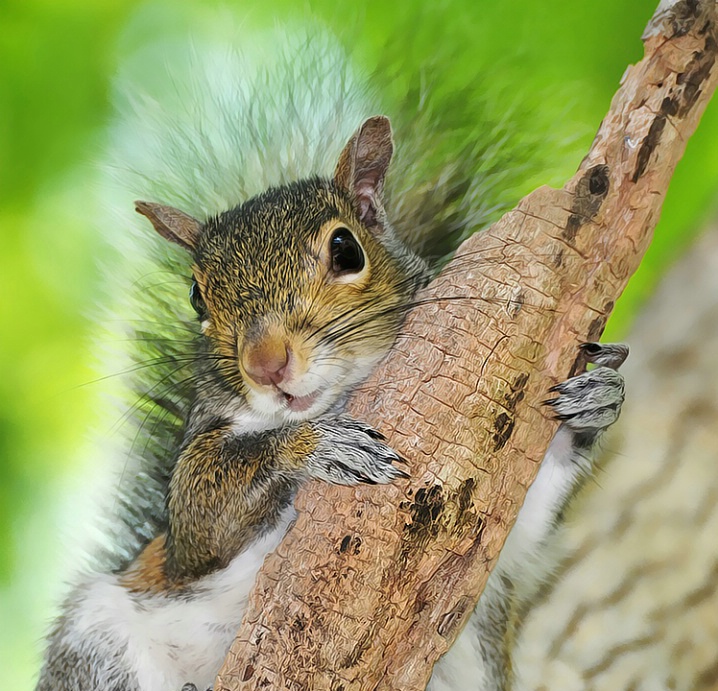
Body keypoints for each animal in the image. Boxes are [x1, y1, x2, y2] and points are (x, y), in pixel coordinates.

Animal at [36, 18, 628, 688]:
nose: (266, 364)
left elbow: (525, 526)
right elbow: (202, 509)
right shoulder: (186, 536)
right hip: (97, 638)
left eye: (347, 250)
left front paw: (595, 401)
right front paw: (320, 445)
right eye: (196, 297)